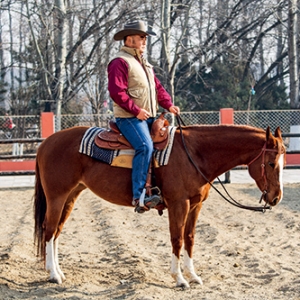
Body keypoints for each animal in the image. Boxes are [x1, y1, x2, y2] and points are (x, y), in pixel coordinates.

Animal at [34, 123, 284, 288]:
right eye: (272, 163)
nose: (276, 197)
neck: (194, 154)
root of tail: (46, 143)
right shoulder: (179, 204)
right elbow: (177, 238)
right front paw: (179, 278)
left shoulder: (196, 206)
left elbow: (190, 238)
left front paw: (193, 275)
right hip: (57, 196)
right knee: (49, 230)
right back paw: (53, 275)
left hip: (71, 196)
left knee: (57, 232)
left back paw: (58, 271)